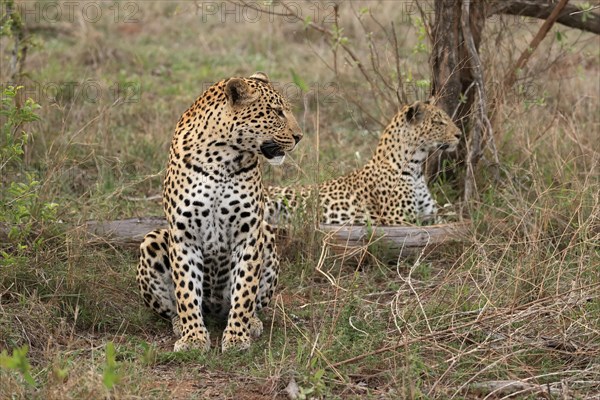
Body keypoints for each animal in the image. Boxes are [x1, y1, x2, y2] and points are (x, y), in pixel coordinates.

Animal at [138, 72, 302, 354]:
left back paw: (252, 323)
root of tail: (214, 310)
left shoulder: (248, 234)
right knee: (172, 308)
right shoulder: (184, 234)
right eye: (276, 111)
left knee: (251, 303)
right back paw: (180, 324)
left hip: (267, 236)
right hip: (154, 239)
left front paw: (237, 337)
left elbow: (245, 290)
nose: (299, 136)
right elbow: (186, 289)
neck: (221, 158)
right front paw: (193, 338)